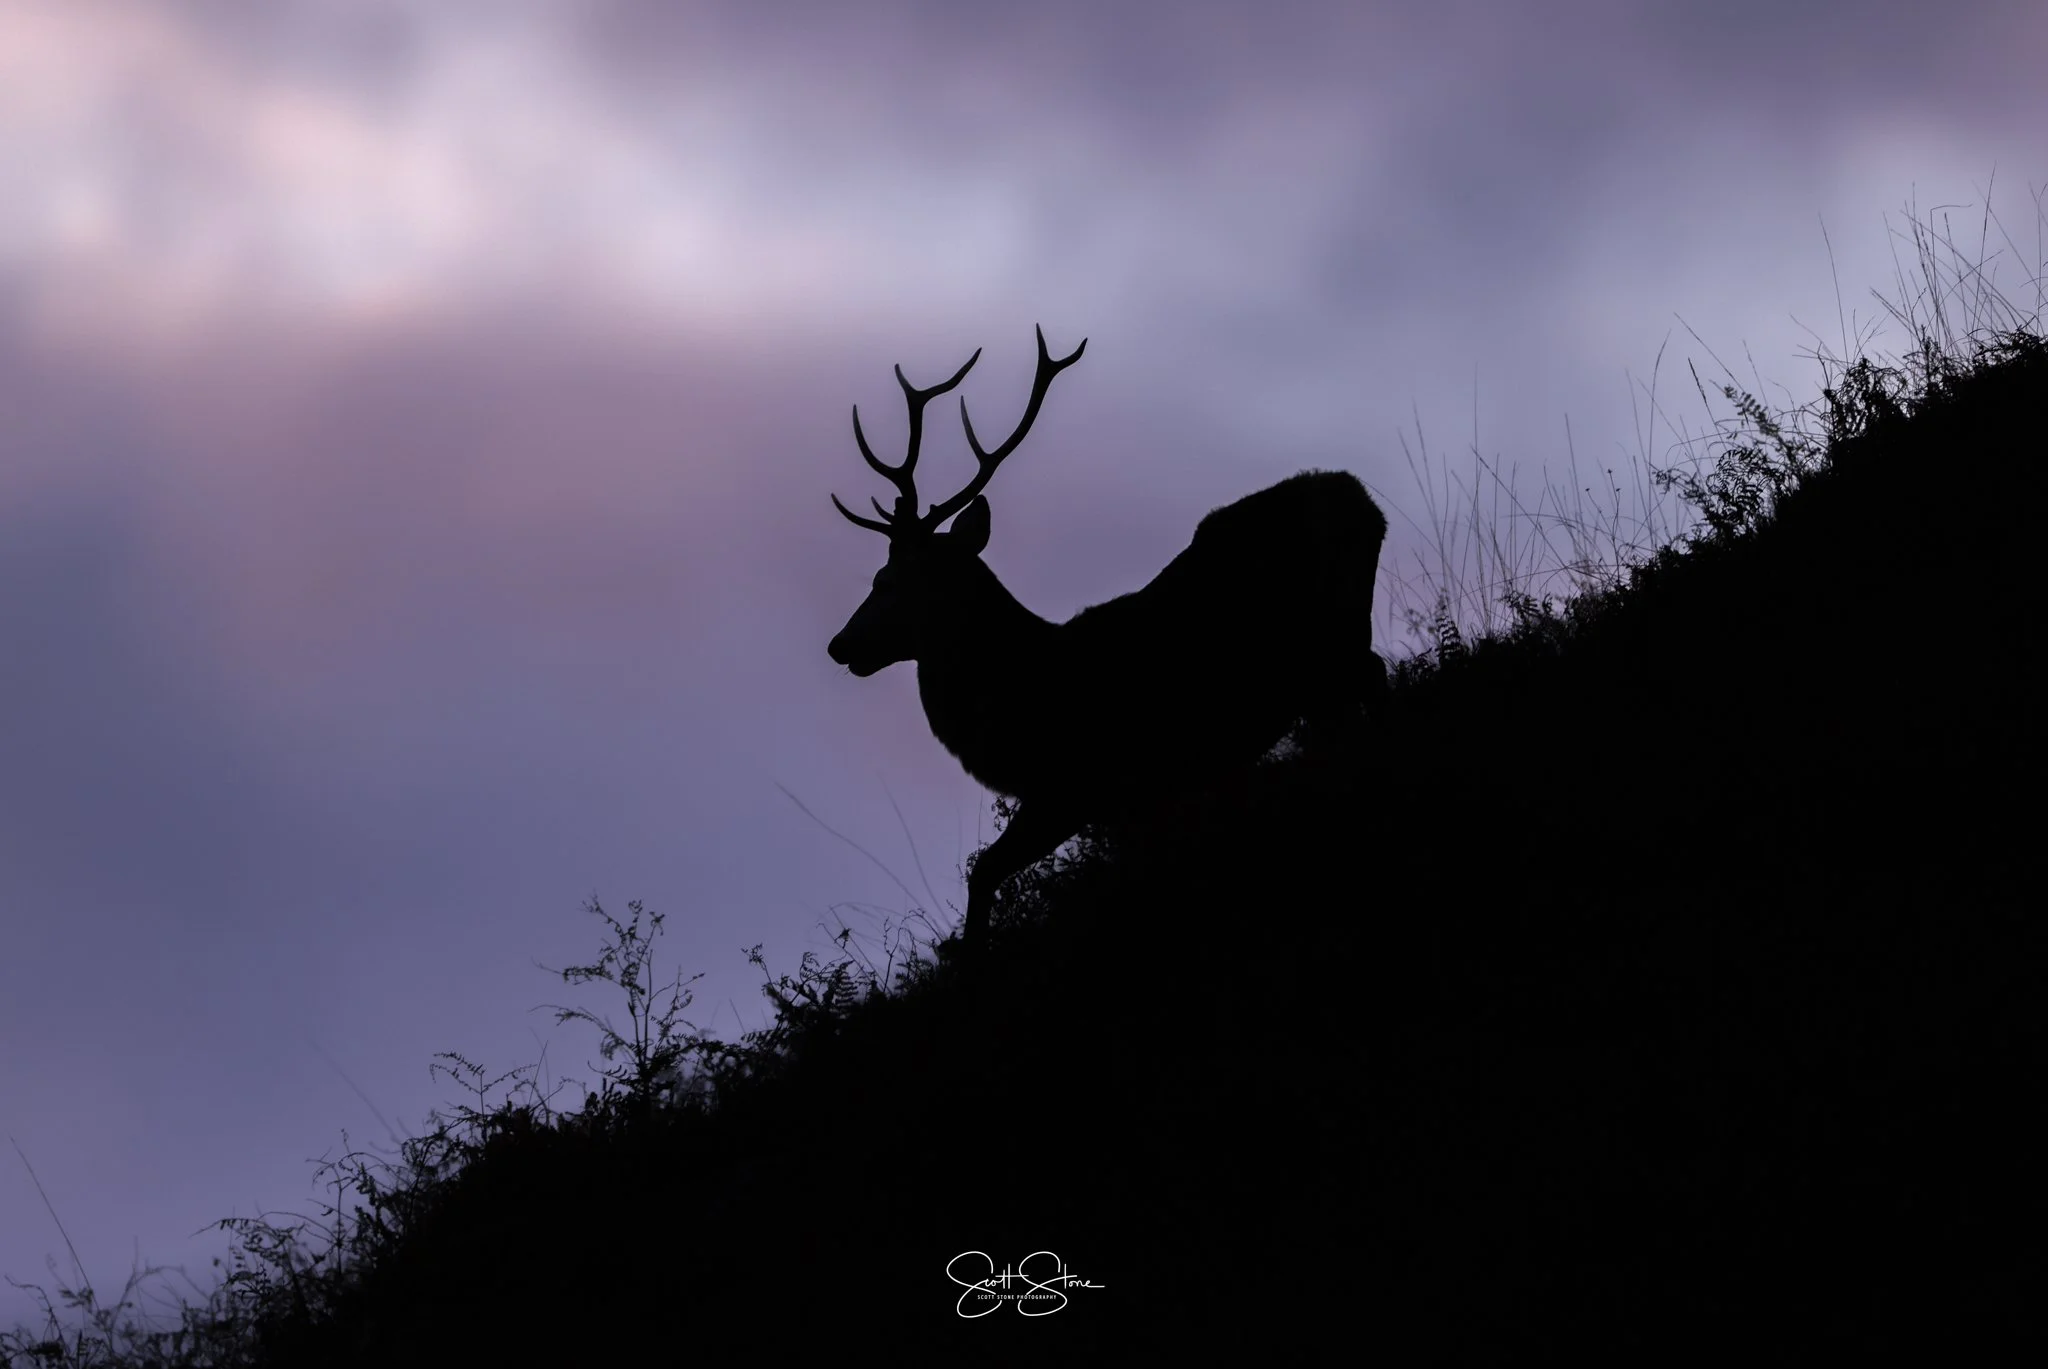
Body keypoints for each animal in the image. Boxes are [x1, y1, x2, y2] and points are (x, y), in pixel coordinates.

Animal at [827, 326, 1389, 952]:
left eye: (891, 580)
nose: (840, 645)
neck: (1017, 703)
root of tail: (1363, 500)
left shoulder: (1080, 783)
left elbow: (988, 871)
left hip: (1328, 643)